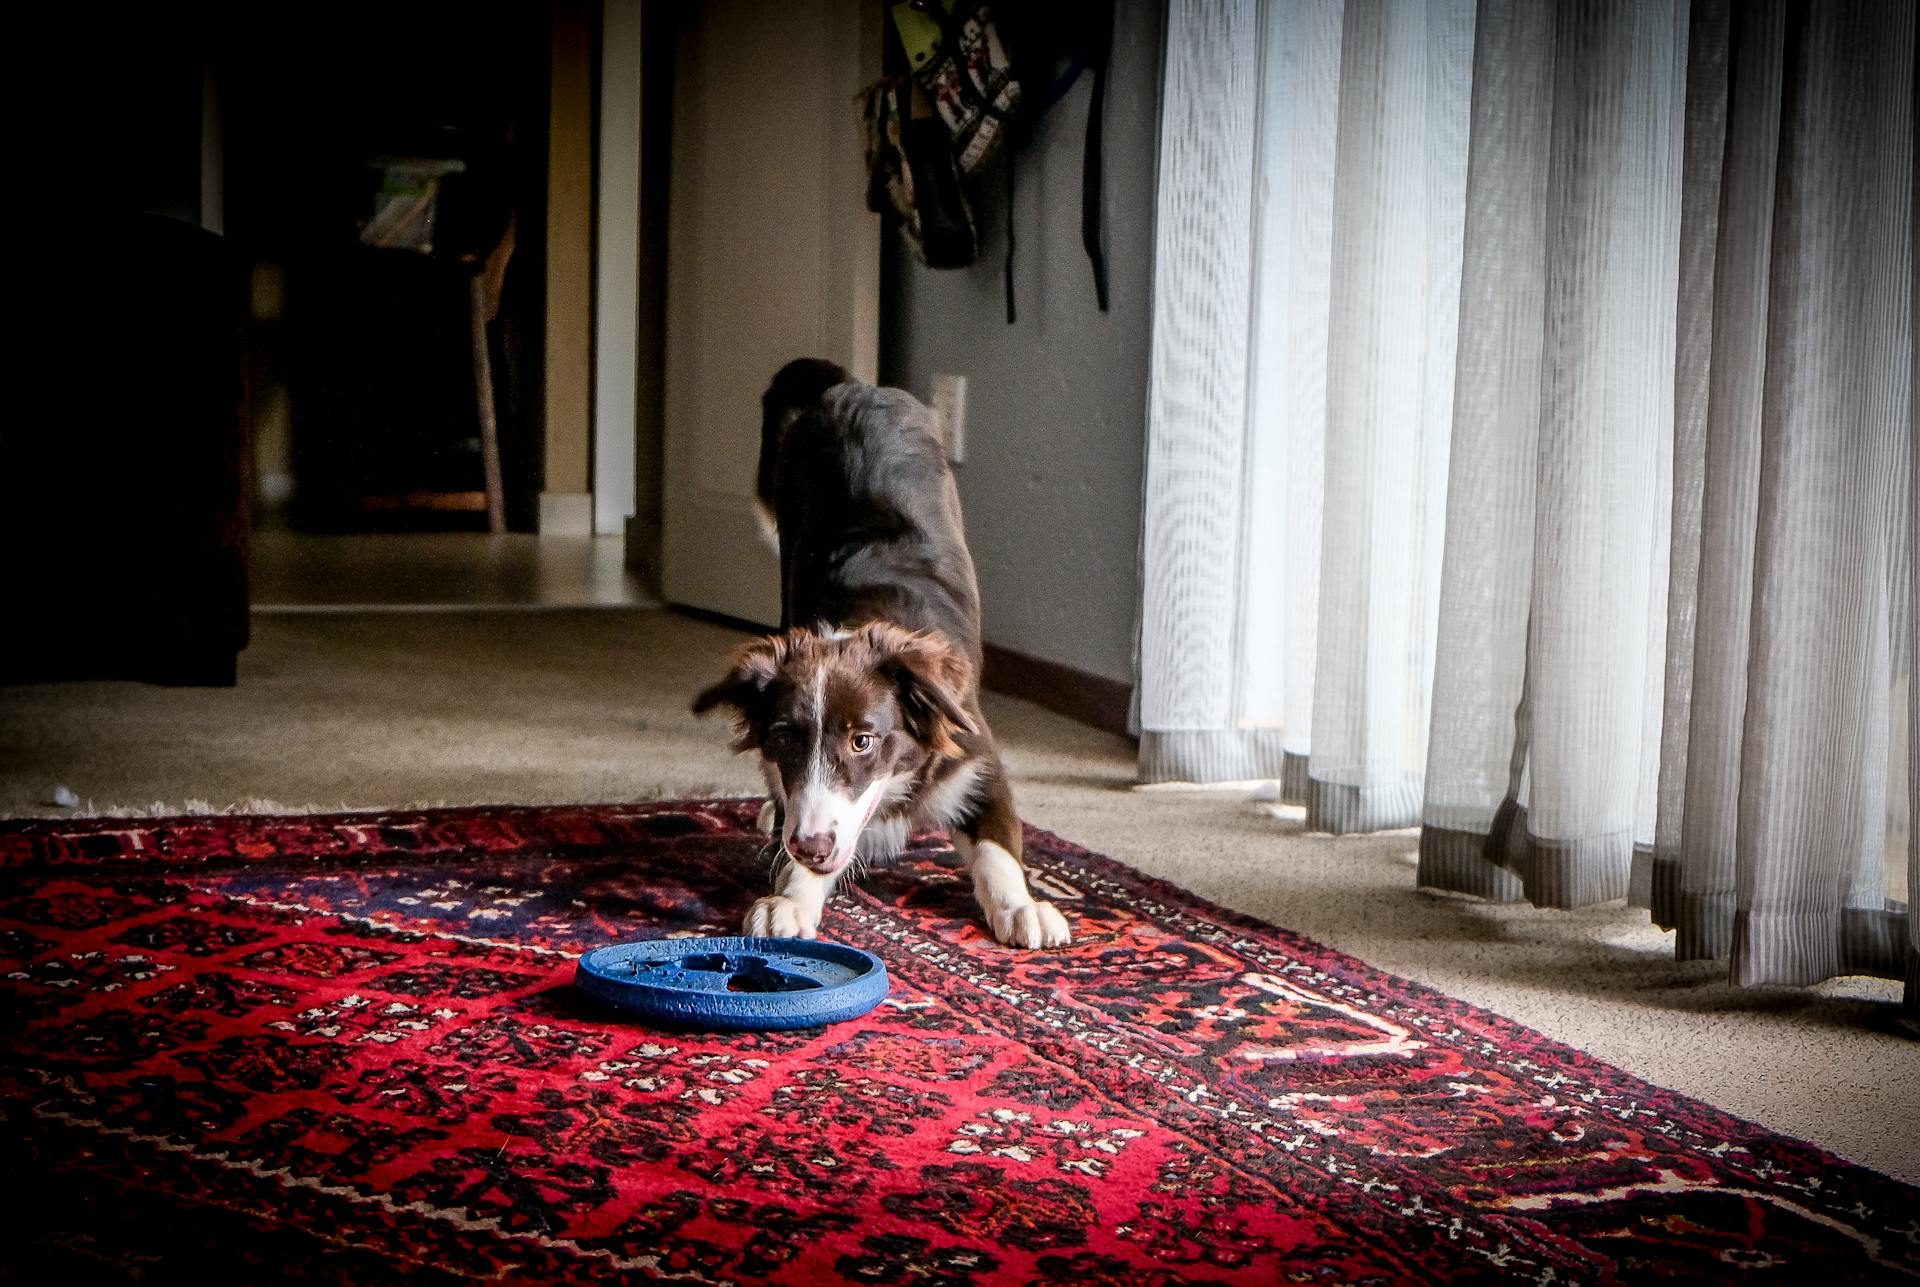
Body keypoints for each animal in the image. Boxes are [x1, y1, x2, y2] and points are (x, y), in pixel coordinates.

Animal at [698, 357, 1075, 952]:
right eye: (783, 738)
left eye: (863, 741)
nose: (811, 847)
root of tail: (855, 388)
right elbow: (793, 818)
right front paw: (791, 897)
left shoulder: (976, 759)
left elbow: (999, 849)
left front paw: (1023, 907)